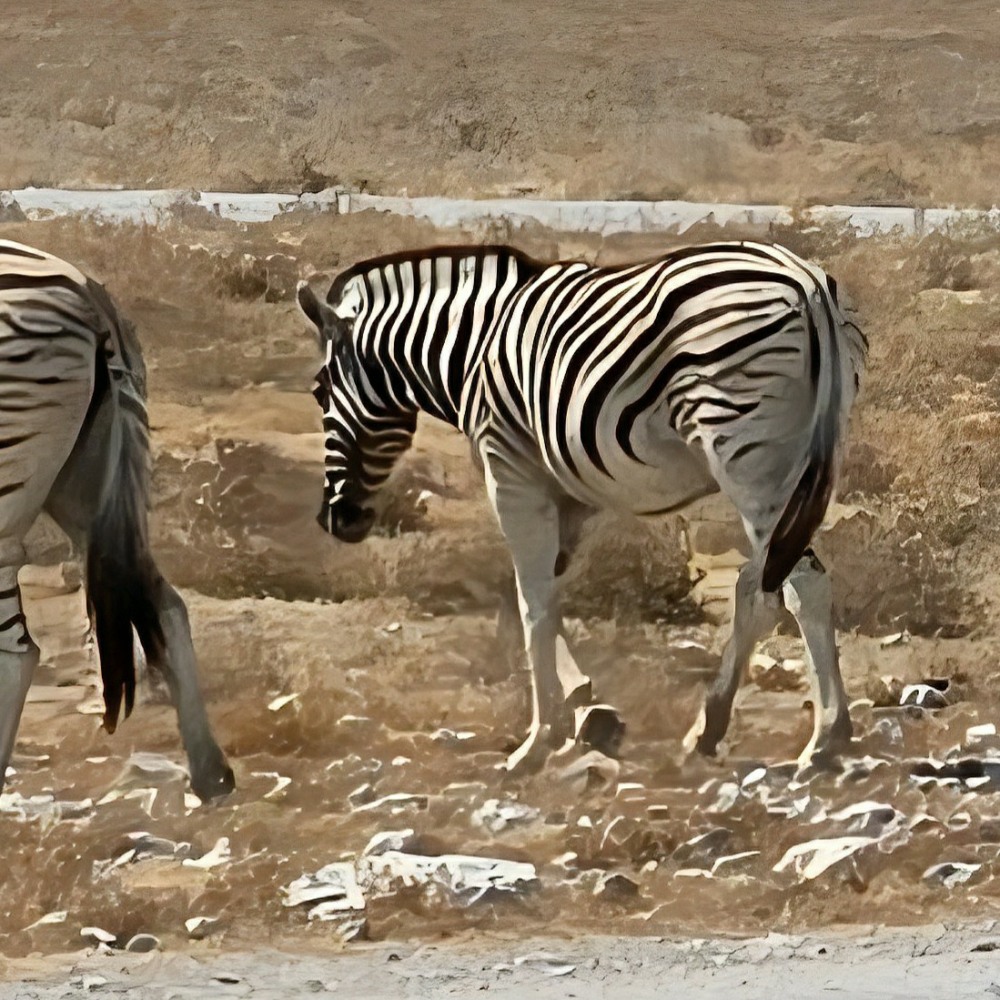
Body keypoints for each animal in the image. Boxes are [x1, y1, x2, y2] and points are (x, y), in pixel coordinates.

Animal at [297, 241, 866, 771]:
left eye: (320, 391)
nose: (334, 520)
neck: (473, 348)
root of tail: (805, 280)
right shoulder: (570, 493)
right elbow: (544, 595)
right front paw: (585, 708)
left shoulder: (511, 471)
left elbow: (530, 601)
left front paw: (538, 741)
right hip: (797, 463)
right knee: (761, 585)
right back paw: (714, 727)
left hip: (749, 458)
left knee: (799, 585)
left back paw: (824, 739)